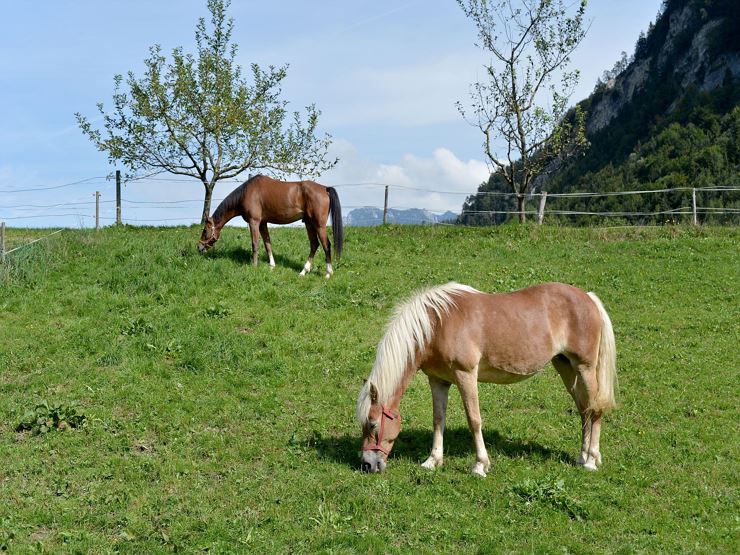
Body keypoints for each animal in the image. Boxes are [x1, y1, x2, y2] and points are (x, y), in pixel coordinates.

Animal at [198, 175, 344, 278]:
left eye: (205, 230)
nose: (199, 247)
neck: (247, 192)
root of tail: (325, 188)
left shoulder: (254, 222)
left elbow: (255, 244)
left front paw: (254, 266)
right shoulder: (263, 223)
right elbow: (267, 243)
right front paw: (272, 266)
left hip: (319, 225)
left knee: (326, 245)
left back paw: (328, 273)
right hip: (309, 223)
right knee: (314, 244)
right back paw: (303, 272)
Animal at [357, 282, 617, 477]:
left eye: (373, 424)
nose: (367, 465)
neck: (438, 324)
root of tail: (588, 298)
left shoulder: (466, 375)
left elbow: (474, 420)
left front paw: (480, 465)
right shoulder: (438, 381)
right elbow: (438, 419)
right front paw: (432, 461)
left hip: (585, 368)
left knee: (595, 410)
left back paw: (591, 460)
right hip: (566, 368)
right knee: (584, 410)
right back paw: (582, 456)